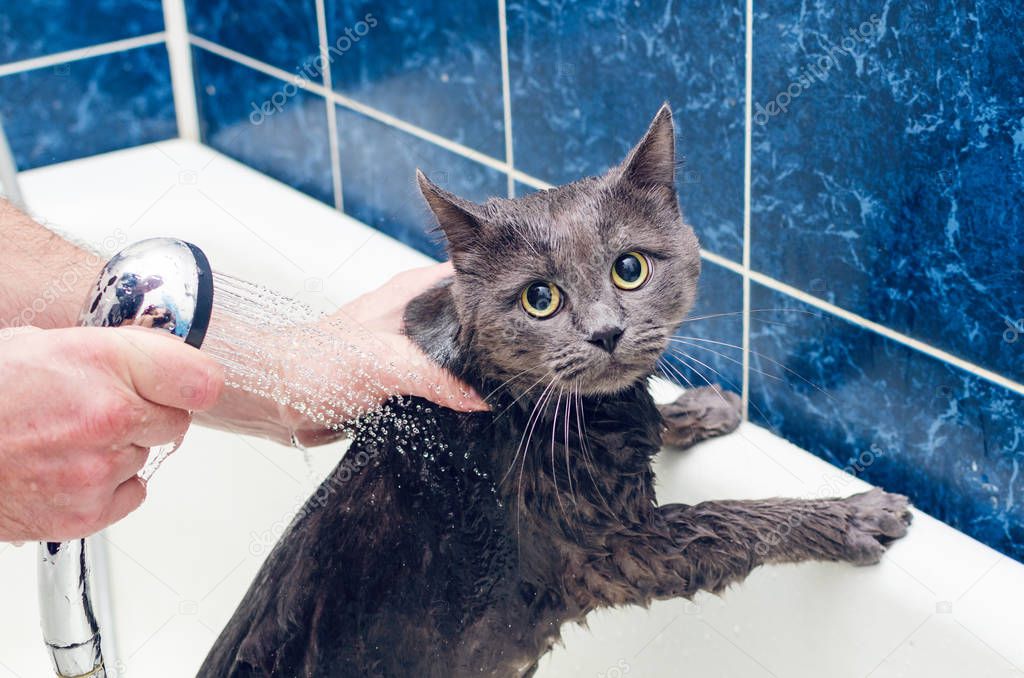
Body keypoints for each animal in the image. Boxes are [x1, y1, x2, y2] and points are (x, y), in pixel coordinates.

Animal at [199, 104, 913, 678]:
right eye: (539, 299)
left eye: (630, 269)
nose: (606, 332)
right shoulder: (619, 551)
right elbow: (735, 519)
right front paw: (853, 514)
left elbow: (651, 419)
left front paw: (701, 406)